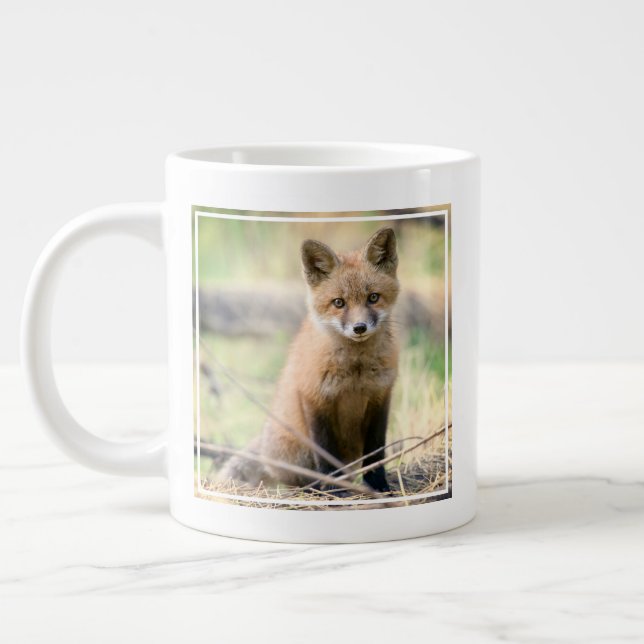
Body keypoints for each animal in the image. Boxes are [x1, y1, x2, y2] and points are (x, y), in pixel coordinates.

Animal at [218, 227, 400, 493]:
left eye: (373, 298)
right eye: (339, 302)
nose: (359, 328)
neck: (356, 372)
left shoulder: (381, 397)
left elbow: (376, 451)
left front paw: (379, 486)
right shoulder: (314, 397)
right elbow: (325, 451)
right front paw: (334, 490)